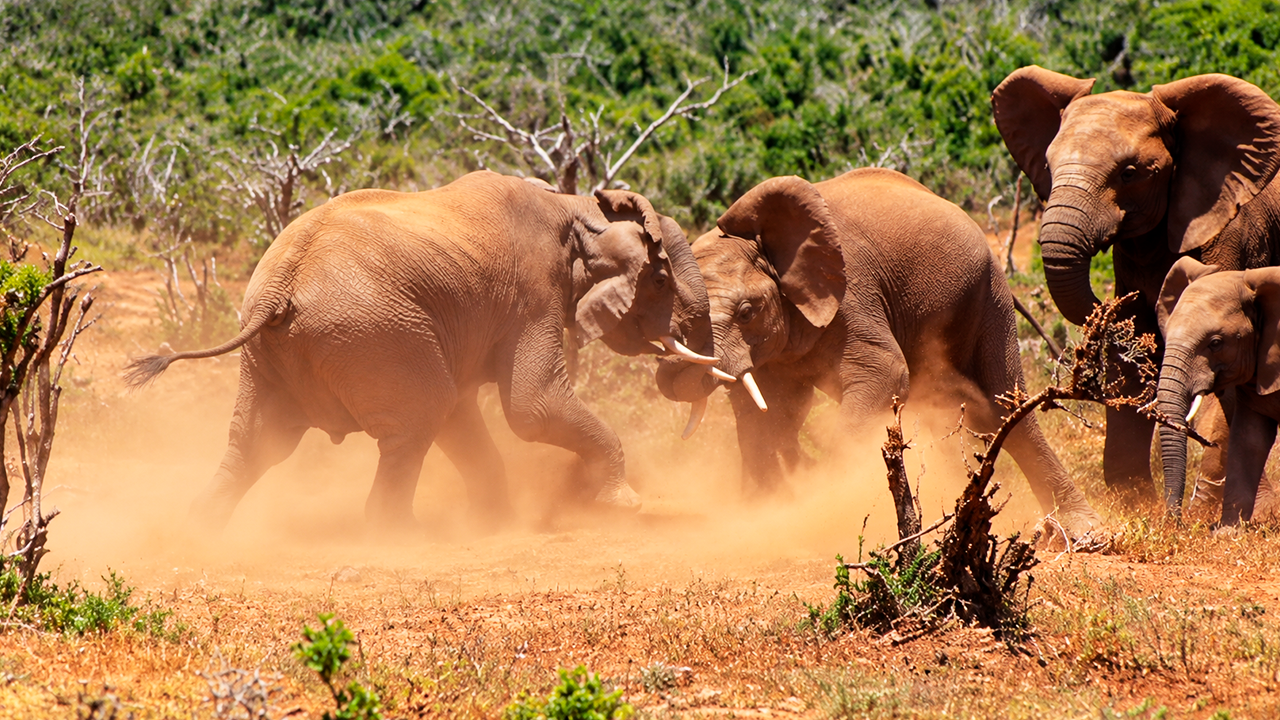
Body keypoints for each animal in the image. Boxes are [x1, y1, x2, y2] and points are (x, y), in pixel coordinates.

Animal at [125, 170, 712, 532]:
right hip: (373, 333)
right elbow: (534, 407)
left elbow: (469, 413)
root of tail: (278, 288)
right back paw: (403, 534)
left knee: (256, 442)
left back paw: (197, 532)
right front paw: (622, 505)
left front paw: (498, 522)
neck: (575, 207)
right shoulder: (533, 291)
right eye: (661, 280)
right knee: (418, 418)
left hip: (287, 352)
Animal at [653, 167, 1103, 537]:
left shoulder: (851, 295)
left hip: (988, 293)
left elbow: (885, 373)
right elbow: (769, 412)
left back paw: (1083, 535)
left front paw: (826, 509)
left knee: (1003, 406)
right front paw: (768, 510)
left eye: (746, 312)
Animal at [992, 66, 1280, 498]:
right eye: (1048, 165)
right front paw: (1134, 500)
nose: (1103, 304)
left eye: (1129, 174)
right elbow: (1129, 356)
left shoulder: (1229, 231)